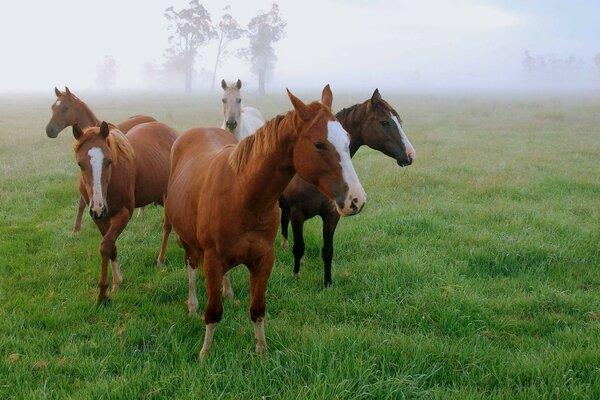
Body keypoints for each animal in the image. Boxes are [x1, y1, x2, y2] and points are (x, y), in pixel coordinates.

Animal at [45, 86, 156, 231]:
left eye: (65, 108)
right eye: (53, 107)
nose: (49, 130)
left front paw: (76, 229)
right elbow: (83, 202)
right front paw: (76, 229)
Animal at [71, 122, 177, 304]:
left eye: (109, 161)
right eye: (80, 164)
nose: (98, 207)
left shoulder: (124, 214)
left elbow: (106, 246)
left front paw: (103, 294)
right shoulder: (101, 219)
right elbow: (111, 246)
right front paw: (117, 282)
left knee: (167, 225)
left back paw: (161, 259)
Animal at [166, 85, 368, 360]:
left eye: (347, 140)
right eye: (319, 144)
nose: (356, 199)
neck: (242, 195)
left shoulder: (263, 260)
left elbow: (258, 309)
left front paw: (261, 351)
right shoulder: (212, 259)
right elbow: (214, 312)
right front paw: (205, 354)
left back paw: (227, 291)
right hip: (188, 241)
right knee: (191, 266)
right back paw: (192, 303)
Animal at [278, 88, 414, 286]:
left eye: (399, 120)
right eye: (385, 122)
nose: (410, 155)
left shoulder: (332, 215)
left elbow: (328, 251)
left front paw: (328, 283)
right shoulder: (298, 214)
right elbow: (299, 247)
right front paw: (296, 276)